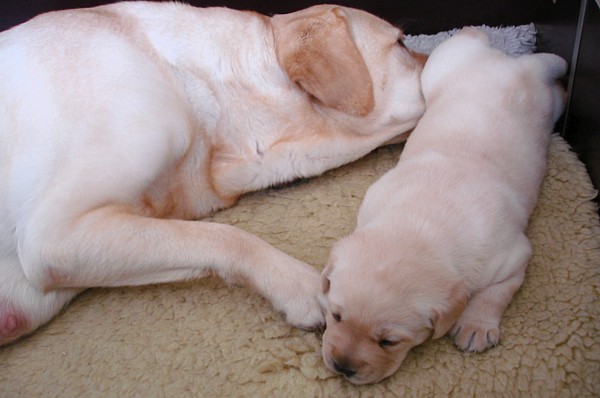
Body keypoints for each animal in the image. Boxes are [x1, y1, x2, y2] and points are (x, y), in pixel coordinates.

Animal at [0, 2, 426, 346]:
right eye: (402, 44)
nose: (439, 52)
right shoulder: (52, 235)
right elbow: (223, 236)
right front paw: (298, 284)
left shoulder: (30, 295)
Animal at [318, 27, 568, 382]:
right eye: (337, 316)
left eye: (389, 341)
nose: (342, 367)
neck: (420, 223)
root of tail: (518, 64)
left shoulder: (513, 257)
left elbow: (496, 292)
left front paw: (476, 326)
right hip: (442, 67)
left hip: (544, 103)